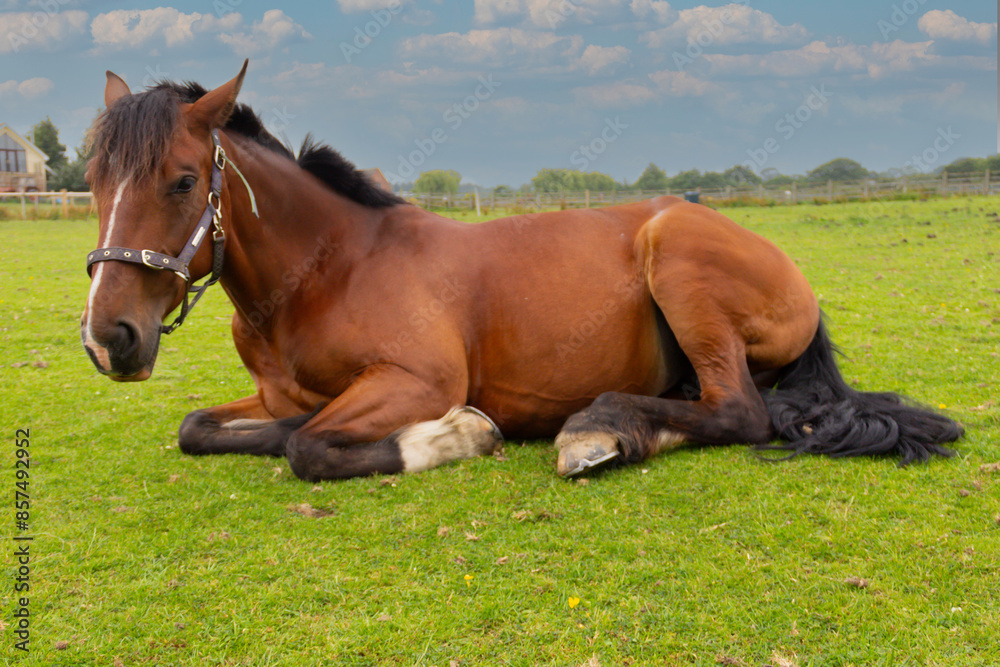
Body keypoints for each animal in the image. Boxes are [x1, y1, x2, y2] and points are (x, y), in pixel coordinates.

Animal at [81, 62, 962, 481]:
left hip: (679, 260)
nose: (108, 338)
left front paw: (454, 435)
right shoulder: (270, 395)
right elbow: (204, 428)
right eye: (92, 180)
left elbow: (310, 446)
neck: (330, 270)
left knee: (741, 411)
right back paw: (616, 428)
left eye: (182, 181)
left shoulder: (419, 379)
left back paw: (595, 427)